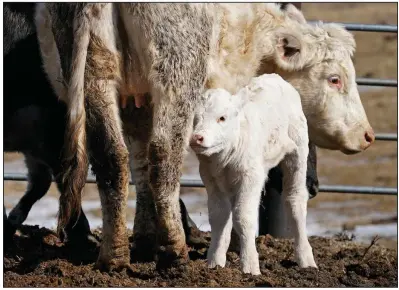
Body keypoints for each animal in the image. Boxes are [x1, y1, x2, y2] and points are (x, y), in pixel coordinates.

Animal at [191, 74, 318, 274]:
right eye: (195, 119)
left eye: (222, 118)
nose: (197, 138)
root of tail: (276, 77)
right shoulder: (210, 179)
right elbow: (219, 216)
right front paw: (215, 263)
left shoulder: (251, 176)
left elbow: (243, 216)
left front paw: (250, 267)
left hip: (298, 150)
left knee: (295, 200)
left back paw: (306, 259)